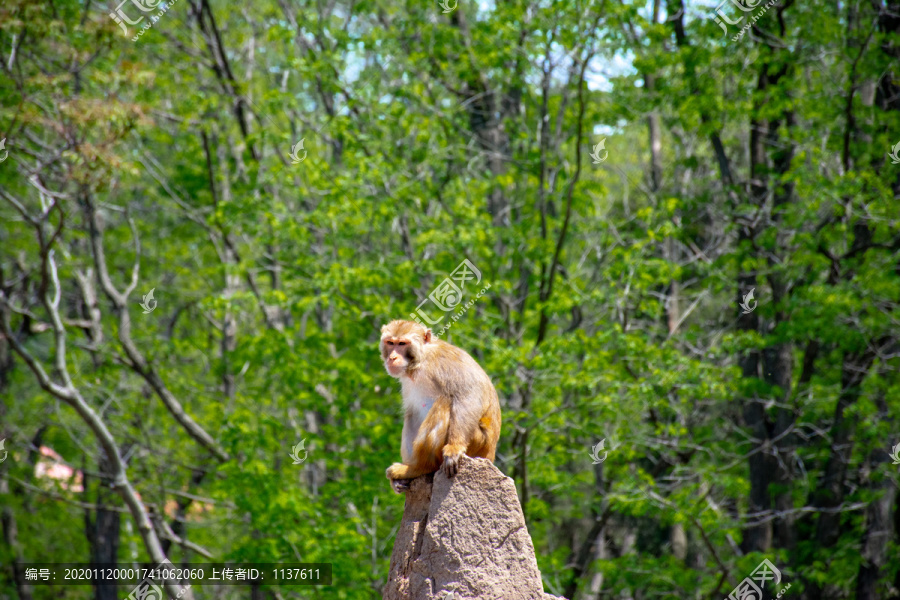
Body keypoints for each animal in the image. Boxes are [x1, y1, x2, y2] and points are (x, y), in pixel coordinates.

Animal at [378, 318, 502, 492]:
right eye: (390, 343)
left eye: (402, 343)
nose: (392, 357)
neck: (420, 362)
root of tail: (490, 455)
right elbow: (414, 413)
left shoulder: (444, 363)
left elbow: (469, 394)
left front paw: (454, 447)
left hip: (477, 443)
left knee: (446, 401)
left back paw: (421, 467)